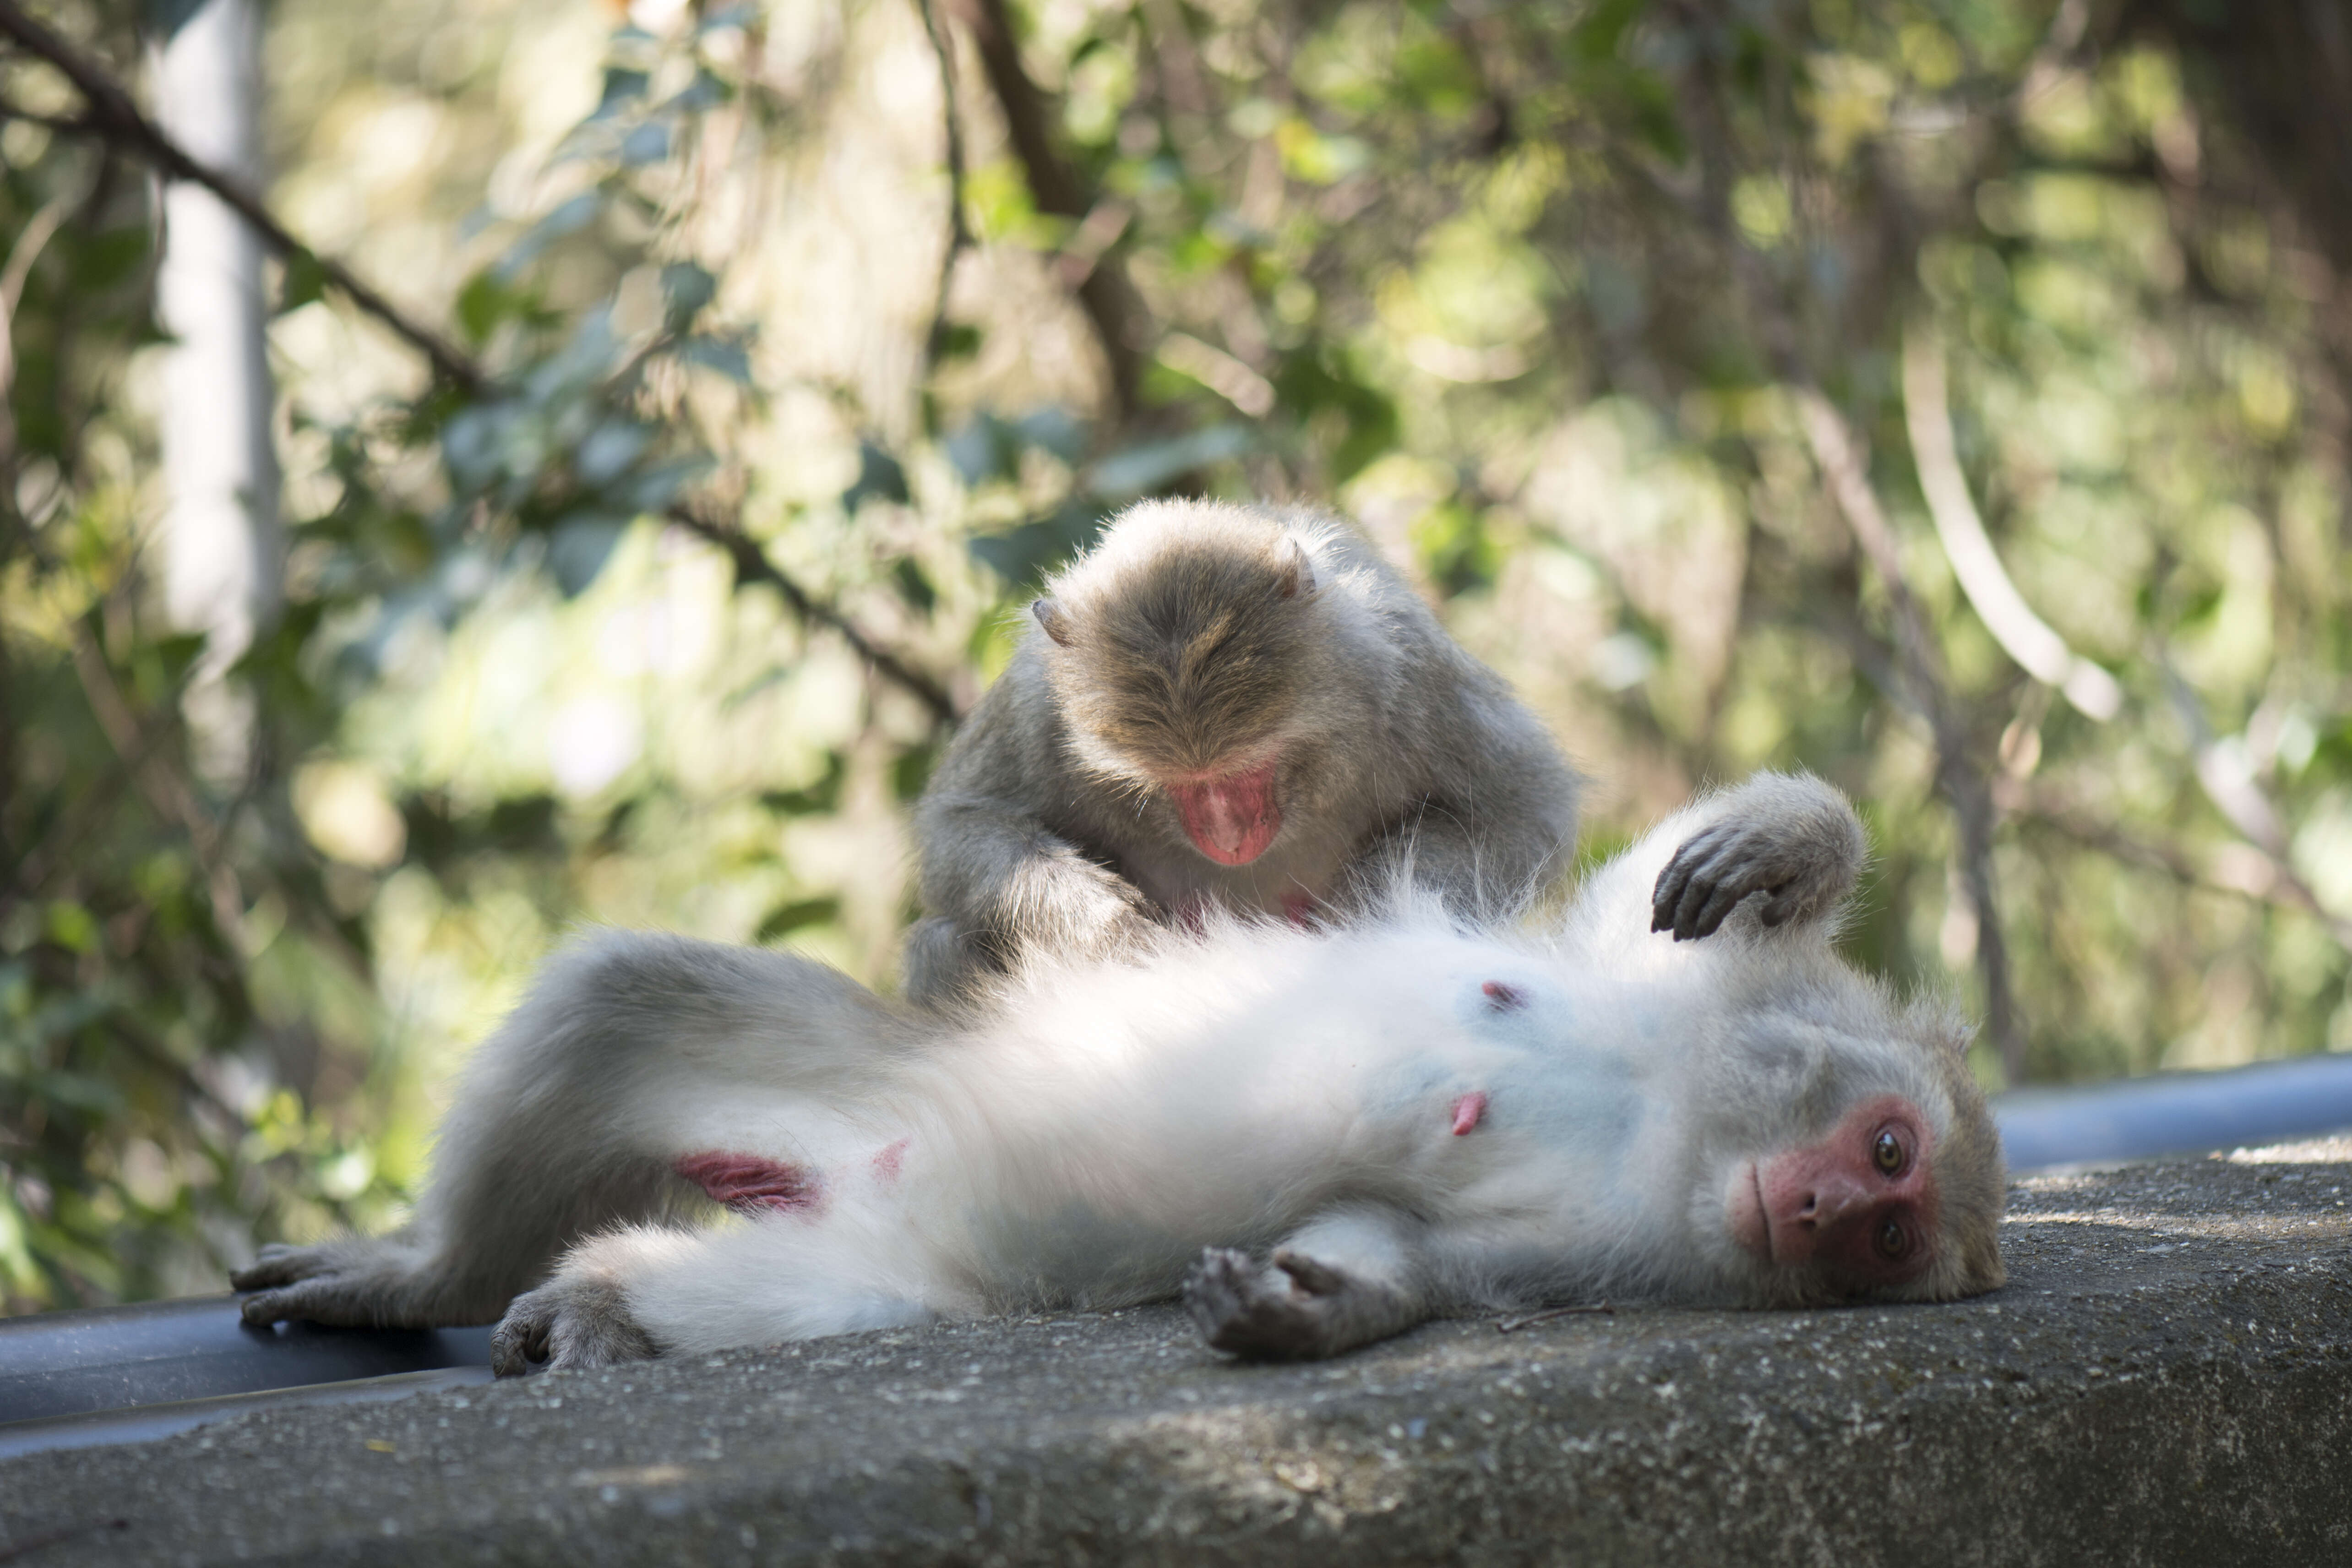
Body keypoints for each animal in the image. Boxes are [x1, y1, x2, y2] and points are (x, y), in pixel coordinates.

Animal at [234, 780, 2004, 1363]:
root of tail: (853, 1173)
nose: (1825, 1208)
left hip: (895, 1262)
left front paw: (1309, 1307)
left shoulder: (1595, 1249)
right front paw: (1782, 841)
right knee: (617, 997)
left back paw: (605, 1299)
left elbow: (1398, 1242)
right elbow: (1637, 888)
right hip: (876, 1086)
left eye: (1889, 1239)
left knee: (768, 1289)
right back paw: (429, 1276)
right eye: (1892, 1153)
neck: (1659, 1113)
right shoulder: (1648, 985)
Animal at [898, 501, 1580, 1006]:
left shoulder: (1407, 671)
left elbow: (1524, 812)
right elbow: (960, 821)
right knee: (940, 941)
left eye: (1252, 769)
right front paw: (1102, 929)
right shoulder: (1036, 706)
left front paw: (1366, 915)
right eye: (1177, 785)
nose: (1228, 838)